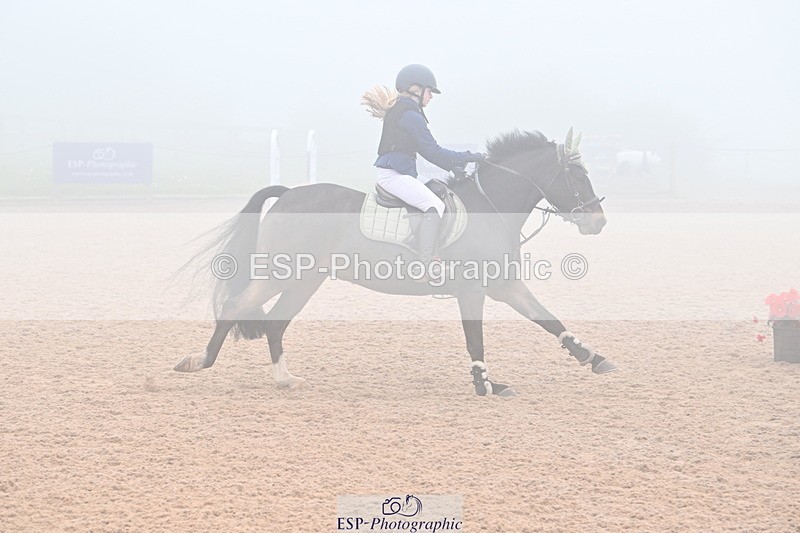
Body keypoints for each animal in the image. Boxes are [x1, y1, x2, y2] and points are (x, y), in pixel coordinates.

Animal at [174, 128, 616, 397]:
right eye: (578, 176)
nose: (598, 222)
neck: (489, 206)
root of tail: (287, 194)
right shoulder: (472, 290)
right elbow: (475, 338)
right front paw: (485, 384)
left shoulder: (504, 285)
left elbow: (549, 319)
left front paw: (594, 359)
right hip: (281, 274)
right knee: (236, 306)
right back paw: (198, 362)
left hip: (305, 280)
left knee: (275, 323)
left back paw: (284, 379)